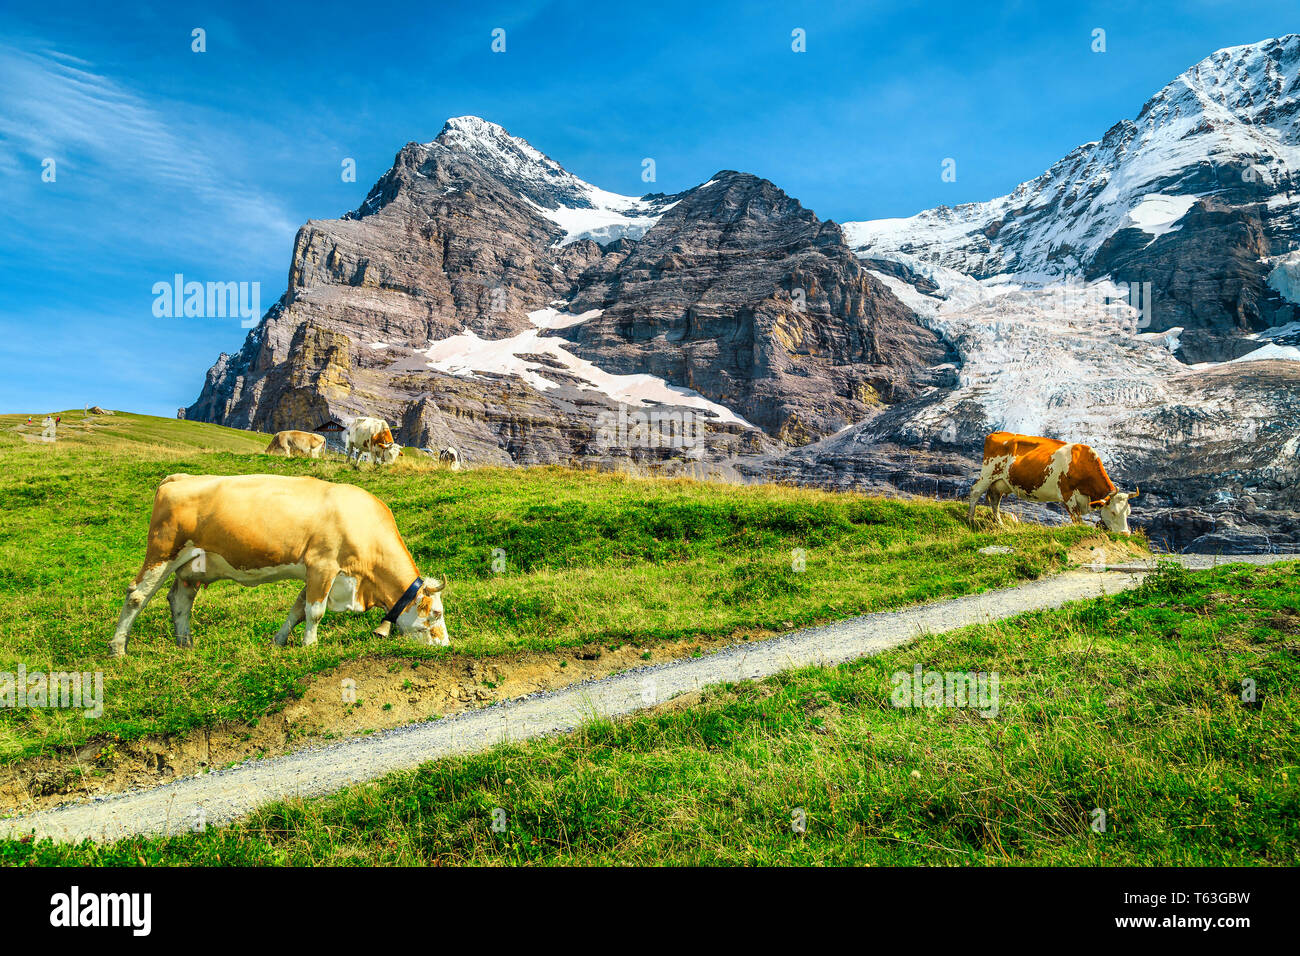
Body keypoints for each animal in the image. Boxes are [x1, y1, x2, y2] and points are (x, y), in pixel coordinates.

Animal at [113, 473, 457, 658]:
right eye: (436, 614)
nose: (446, 645)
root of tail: (180, 477)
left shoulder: (316, 574)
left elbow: (297, 609)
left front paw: (278, 642)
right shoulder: (322, 565)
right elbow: (314, 611)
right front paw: (310, 645)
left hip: (193, 565)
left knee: (181, 600)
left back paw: (186, 645)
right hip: (162, 551)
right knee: (136, 595)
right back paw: (118, 648)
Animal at [967, 431, 1138, 535]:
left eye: (1129, 513)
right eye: (1114, 512)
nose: (1126, 534)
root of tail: (997, 433)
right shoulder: (1068, 496)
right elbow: (1077, 521)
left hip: (1001, 482)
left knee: (995, 499)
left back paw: (1001, 524)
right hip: (988, 474)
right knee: (975, 491)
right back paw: (970, 520)